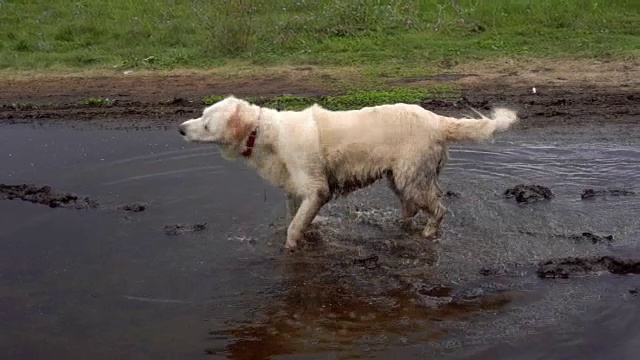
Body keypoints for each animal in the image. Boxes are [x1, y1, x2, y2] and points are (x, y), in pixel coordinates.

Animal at [178, 95, 516, 250]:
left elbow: (294, 228)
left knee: (438, 209)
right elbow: (292, 219)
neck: (264, 134)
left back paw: (429, 232)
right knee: (409, 208)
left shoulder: (317, 190)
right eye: (201, 115)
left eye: (206, 125)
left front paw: (290, 249)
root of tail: (437, 120)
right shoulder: (294, 191)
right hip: (399, 178)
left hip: (412, 177)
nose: (180, 129)